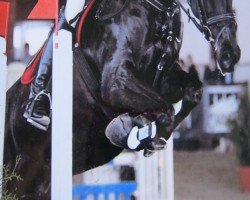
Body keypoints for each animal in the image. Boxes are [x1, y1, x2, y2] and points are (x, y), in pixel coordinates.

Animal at [2, 0, 240, 198]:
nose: (230, 54)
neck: (157, 10)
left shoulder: (164, 78)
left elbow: (191, 93)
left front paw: (140, 131)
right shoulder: (115, 82)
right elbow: (166, 110)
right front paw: (131, 131)